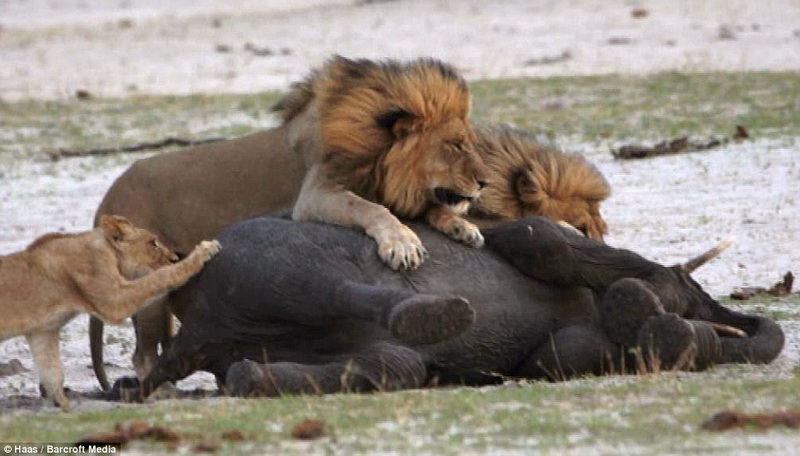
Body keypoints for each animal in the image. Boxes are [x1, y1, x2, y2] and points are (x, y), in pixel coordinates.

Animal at [0, 215, 220, 409]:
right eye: (153, 243)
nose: (174, 258)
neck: (108, 251)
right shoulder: (114, 300)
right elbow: (158, 278)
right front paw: (202, 252)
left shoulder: (43, 331)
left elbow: (52, 371)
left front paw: (65, 406)